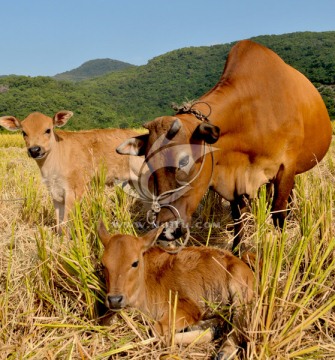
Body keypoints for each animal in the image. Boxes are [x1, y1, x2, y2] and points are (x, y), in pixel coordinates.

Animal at [0, 110, 142, 233]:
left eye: (48, 130)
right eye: (23, 132)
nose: (34, 150)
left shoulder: (74, 191)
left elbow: (66, 223)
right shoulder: (55, 193)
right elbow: (59, 223)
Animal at [98, 221, 255, 358]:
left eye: (135, 263)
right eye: (103, 264)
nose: (115, 299)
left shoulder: (186, 307)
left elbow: (157, 332)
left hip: (241, 292)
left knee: (239, 327)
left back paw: (223, 351)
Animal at [117, 40, 332, 252]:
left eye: (184, 161)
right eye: (149, 163)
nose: (165, 230)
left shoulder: (286, 167)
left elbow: (278, 214)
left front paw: (279, 253)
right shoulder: (236, 182)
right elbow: (239, 217)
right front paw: (237, 250)